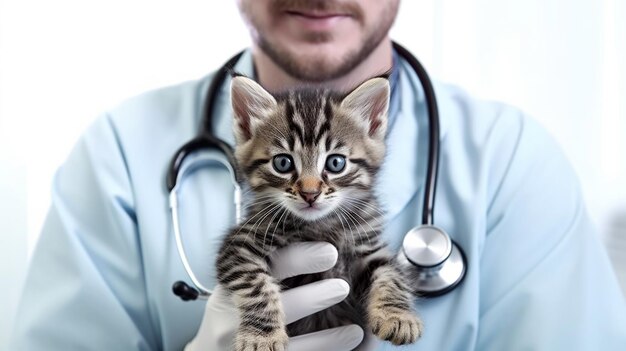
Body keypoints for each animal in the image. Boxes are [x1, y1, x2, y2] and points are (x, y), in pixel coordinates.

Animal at [214, 75, 420, 351]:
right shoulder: (240, 243)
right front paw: (261, 336)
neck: (320, 225)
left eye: (336, 163)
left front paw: (398, 317)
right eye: (283, 163)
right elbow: (255, 285)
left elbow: (391, 273)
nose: (310, 193)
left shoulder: (370, 245)